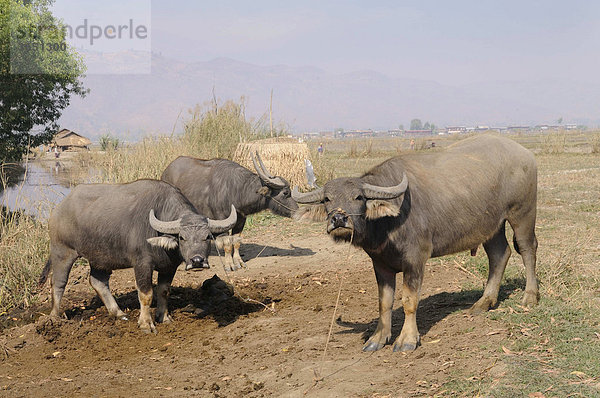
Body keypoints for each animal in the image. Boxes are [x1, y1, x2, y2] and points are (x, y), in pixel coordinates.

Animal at [37, 180, 239, 332]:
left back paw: (118, 313)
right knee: (58, 283)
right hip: (62, 251)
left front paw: (164, 317)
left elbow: (164, 291)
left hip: (100, 258)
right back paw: (54, 317)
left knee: (98, 281)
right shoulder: (142, 264)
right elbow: (146, 294)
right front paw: (146, 323)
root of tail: (58, 210)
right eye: (182, 237)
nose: (197, 261)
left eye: (208, 237)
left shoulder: (169, 266)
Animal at [161, 152, 298, 270]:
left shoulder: (241, 219)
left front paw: (239, 262)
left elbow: (236, 242)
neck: (236, 191)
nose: (297, 210)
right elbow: (227, 244)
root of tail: (165, 172)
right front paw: (229, 265)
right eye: (285, 193)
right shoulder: (222, 220)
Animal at [294, 136, 540, 352]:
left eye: (358, 197)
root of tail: (525, 154)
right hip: (491, 226)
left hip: (522, 213)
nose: (338, 219)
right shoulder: (380, 263)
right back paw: (484, 302)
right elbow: (384, 302)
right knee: (499, 254)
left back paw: (530, 296)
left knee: (527, 249)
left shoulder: (415, 259)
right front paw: (378, 338)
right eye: (327, 199)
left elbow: (409, 300)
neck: (387, 223)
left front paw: (407, 340)